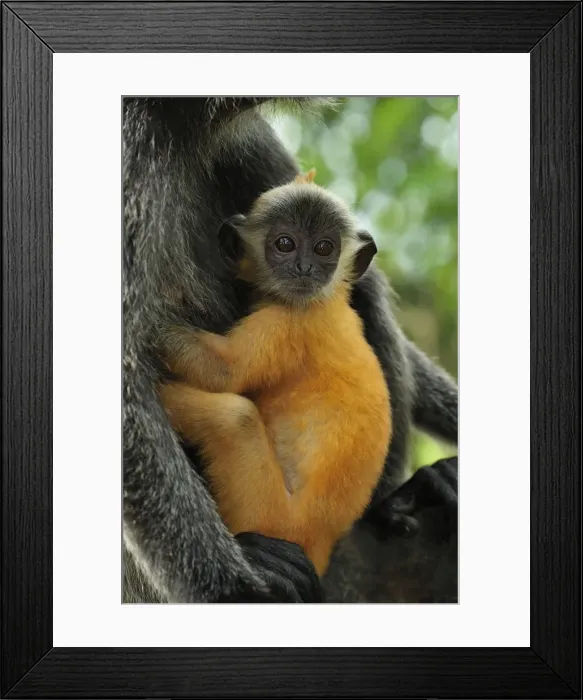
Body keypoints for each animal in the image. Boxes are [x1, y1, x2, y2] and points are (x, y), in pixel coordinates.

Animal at [158, 179, 391, 576]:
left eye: (324, 247)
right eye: (285, 243)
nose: (304, 267)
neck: (326, 299)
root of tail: (316, 546)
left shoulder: (290, 324)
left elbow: (223, 374)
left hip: (268, 515)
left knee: (235, 417)